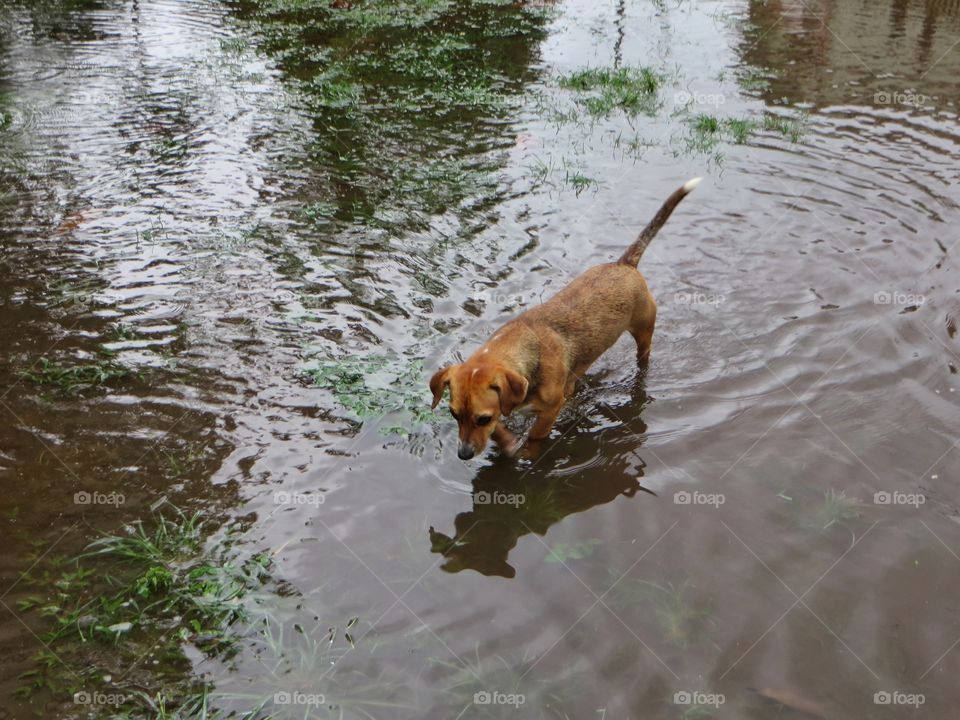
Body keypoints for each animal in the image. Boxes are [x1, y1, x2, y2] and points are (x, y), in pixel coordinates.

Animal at [432, 180, 700, 462]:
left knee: (643, 356)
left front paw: (527, 454)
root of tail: (624, 263)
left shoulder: (550, 409)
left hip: (644, 331)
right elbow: (502, 429)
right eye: (454, 415)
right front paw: (507, 442)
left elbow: (535, 434)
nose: (463, 454)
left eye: (482, 419)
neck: (528, 352)